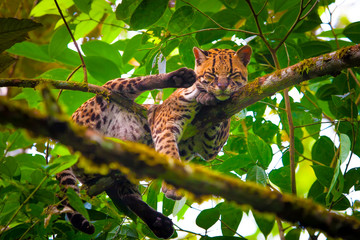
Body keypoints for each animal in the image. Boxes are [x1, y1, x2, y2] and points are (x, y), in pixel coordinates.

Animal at [57, 45, 252, 238]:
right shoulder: (164, 122)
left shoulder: (209, 145)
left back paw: (160, 224)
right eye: (211, 74)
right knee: (136, 82)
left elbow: (222, 116)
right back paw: (179, 77)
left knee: (128, 195)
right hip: (105, 94)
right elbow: (170, 152)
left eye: (233, 74)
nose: (222, 87)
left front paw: (211, 97)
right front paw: (200, 91)